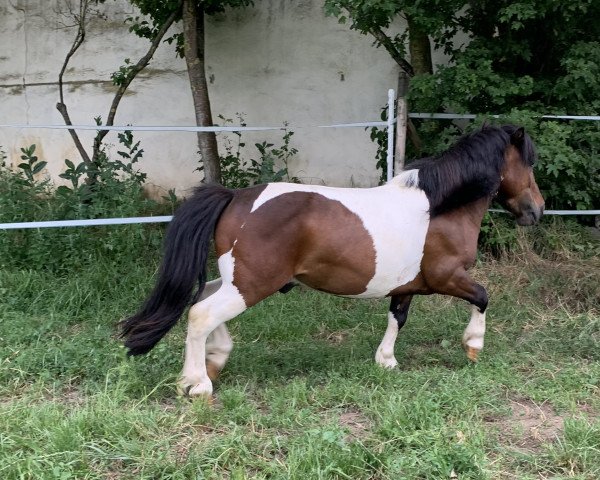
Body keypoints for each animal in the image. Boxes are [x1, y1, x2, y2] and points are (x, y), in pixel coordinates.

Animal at [120, 124, 544, 398]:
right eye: (529, 162)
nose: (536, 211)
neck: (438, 207)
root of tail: (236, 198)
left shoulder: (407, 287)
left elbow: (398, 318)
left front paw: (386, 361)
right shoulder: (447, 277)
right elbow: (483, 296)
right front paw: (473, 345)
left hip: (234, 279)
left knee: (200, 299)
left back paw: (214, 361)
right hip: (250, 284)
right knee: (201, 314)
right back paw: (197, 385)